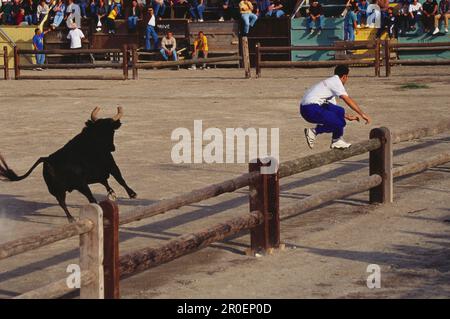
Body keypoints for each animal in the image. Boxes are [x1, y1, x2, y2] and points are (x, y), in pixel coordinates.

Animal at [0, 107, 137, 222]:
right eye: (112, 131)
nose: (112, 148)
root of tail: (47, 159)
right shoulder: (111, 165)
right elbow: (120, 179)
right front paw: (132, 194)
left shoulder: (100, 174)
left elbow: (106, 182)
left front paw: (112, 192)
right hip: (80, 185)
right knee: (89, 198)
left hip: (57, 189)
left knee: (62, 202)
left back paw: (71, 218)